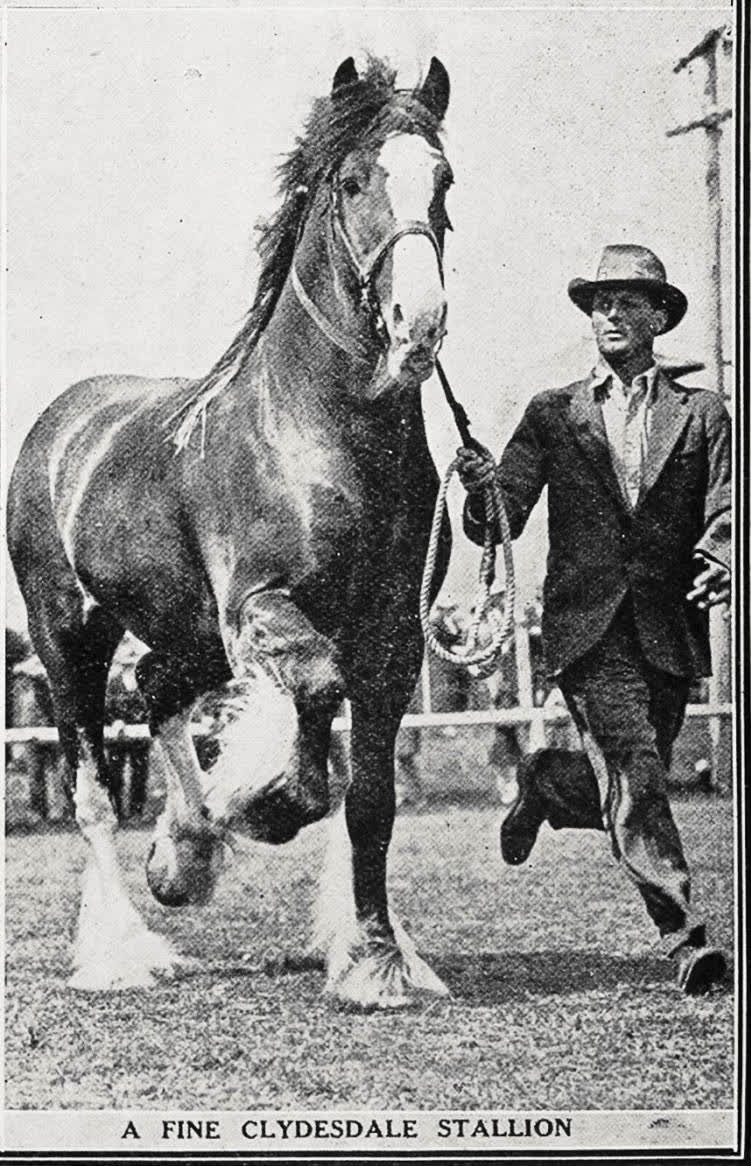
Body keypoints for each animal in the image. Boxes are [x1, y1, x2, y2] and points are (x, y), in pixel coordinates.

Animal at [7, 55, 455, 1008]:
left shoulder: (393, 636)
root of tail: (61, 423)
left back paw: (186, 852)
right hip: (67, 639)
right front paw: (267, 801)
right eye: (352, 181)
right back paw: (121, 951)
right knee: (92, 788)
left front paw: (374, 960)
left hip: (185, 631)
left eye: (442, 181)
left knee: (155, 688)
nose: (419, 324)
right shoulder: (260, 603)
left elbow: (370, 802)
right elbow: (316, 693)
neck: (320, 435)